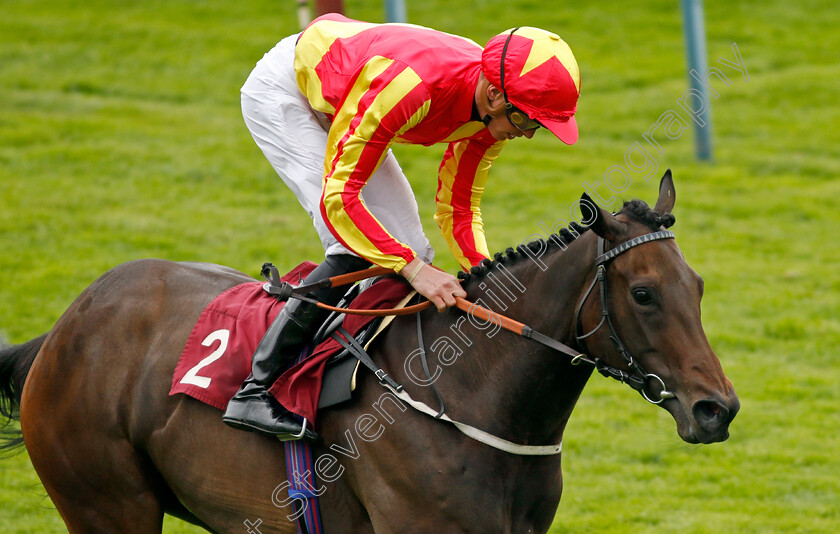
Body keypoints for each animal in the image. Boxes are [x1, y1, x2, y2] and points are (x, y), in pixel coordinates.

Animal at [0, 174, 736, 532]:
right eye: (643, 293)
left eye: (699, 286)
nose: (717, 409)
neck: (470, 397)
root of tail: (61, 331)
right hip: (106, 504)